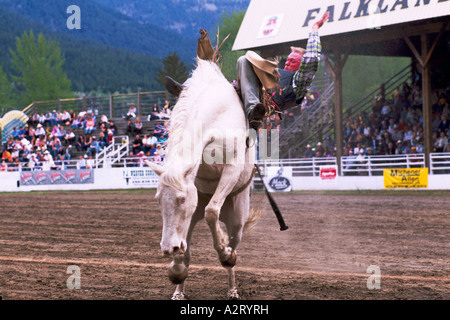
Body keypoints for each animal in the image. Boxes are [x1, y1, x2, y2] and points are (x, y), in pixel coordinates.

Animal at [146, 57, 262, 300]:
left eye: (181, 199)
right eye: (158, 199)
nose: (167, 249)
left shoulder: (231, 169)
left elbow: (212, 212)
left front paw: (224, 254)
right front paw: (176, 271)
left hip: (237, 219)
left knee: (232, 244)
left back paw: (231, 282)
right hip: (189, 222)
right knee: (185, 248)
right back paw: (178, 283)